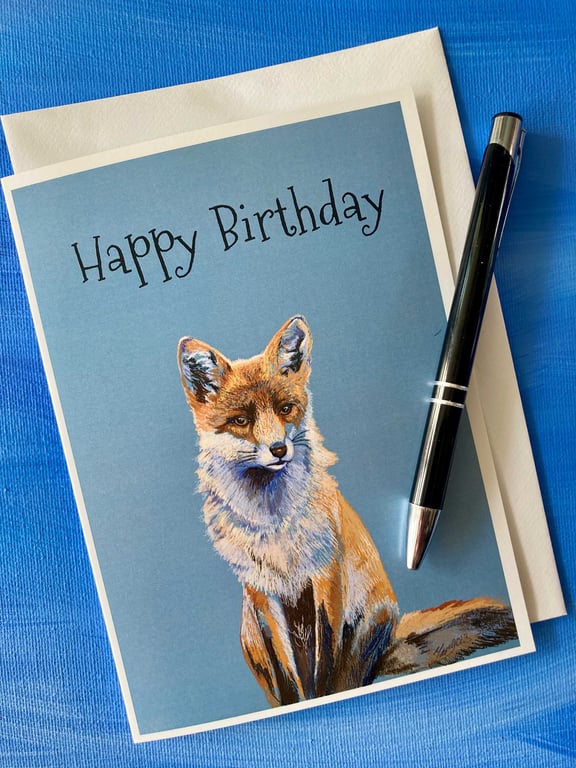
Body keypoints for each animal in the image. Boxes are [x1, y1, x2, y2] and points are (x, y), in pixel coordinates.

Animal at [178, 315, 517, 706]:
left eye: (285, 409)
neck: (275, 526)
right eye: (240, 421)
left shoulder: (325, 578)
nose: (278, 449)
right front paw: (304, 702)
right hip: (252, 635)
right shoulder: (265, 595)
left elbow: (324, 666)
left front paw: (321, 695)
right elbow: (291, 675)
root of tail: (391, 635)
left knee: (350, 674)